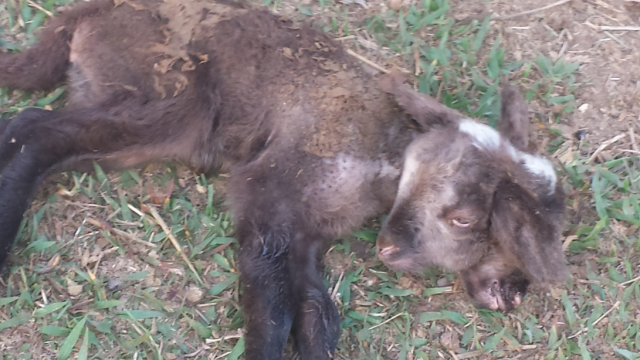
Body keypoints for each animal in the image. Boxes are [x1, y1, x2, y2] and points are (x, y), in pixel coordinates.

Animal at [0, 1, 568, 358]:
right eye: (466, 220)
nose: (513, 294)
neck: (382, 156)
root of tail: (84, 14)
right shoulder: (268, 198)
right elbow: (271, 314)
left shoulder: (305, 232)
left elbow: (315, 316)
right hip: (169, 98)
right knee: (34, 130)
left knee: (34, 131)